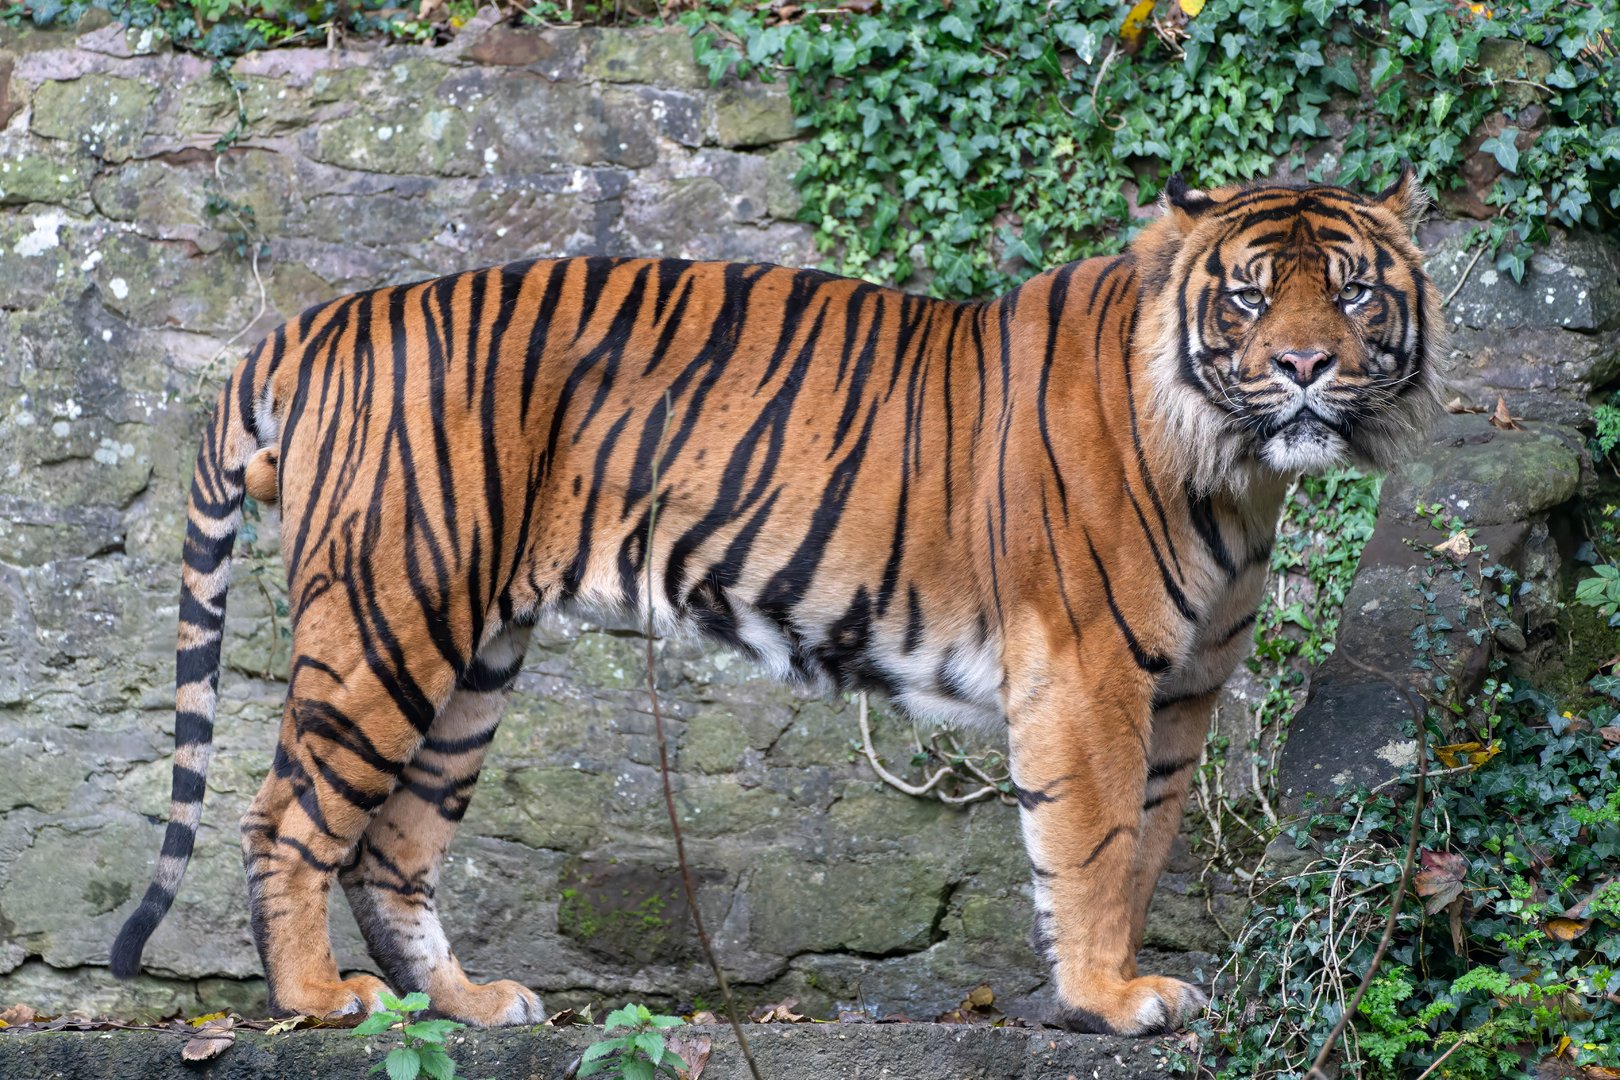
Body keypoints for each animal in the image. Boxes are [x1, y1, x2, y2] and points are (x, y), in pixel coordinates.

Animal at [110, 172, 1440, 1036]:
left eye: (1357, 294)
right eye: (1250, 299)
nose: (1308, 367)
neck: (1240, 467)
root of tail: (324, 318)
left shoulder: (1185, 689)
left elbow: (1148, 844)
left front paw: (1119, 979)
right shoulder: (1089, 670)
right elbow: (1096, 841)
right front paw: (1110, 1000)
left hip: (475, 655)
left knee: (392, 844)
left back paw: (472, 1007)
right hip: (394, 615)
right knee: (286, 816)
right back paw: (318, 1001)